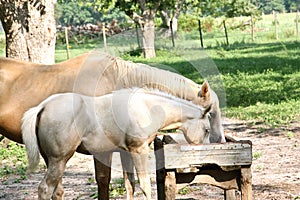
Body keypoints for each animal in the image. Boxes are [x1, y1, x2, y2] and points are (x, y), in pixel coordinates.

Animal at [21, 88, 211, 199]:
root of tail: (43, 107)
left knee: (56, 191)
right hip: (59, 160)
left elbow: (130, 185)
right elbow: (145, 185)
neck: (145, 107)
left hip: (53, 161)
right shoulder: (139, 151)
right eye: (207, 130)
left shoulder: (125, 152)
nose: (202, 163)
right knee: (45, 189)